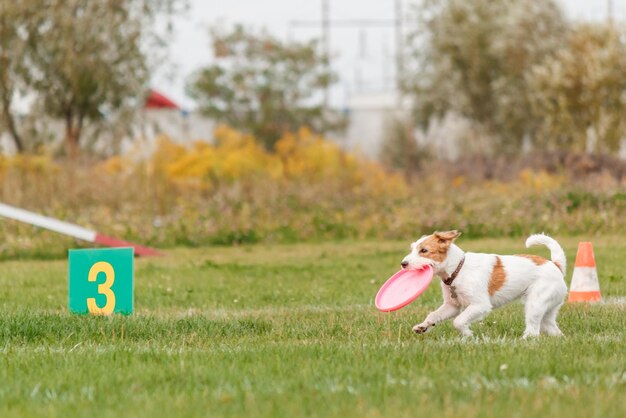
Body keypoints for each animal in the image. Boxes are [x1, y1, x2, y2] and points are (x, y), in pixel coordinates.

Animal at [400, 230, 564, 338]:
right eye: (413, 249)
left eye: (424, 250)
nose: (403, 264)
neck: (458, 269)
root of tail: (556, 265)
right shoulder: (452, 306)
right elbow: (434, 315)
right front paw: (423, 326)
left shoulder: (480, 305)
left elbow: (458, 321)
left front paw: (467, 334)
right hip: (547, 309)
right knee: (552, 328)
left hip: (535, 305)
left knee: (533, 331)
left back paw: (523, 341)